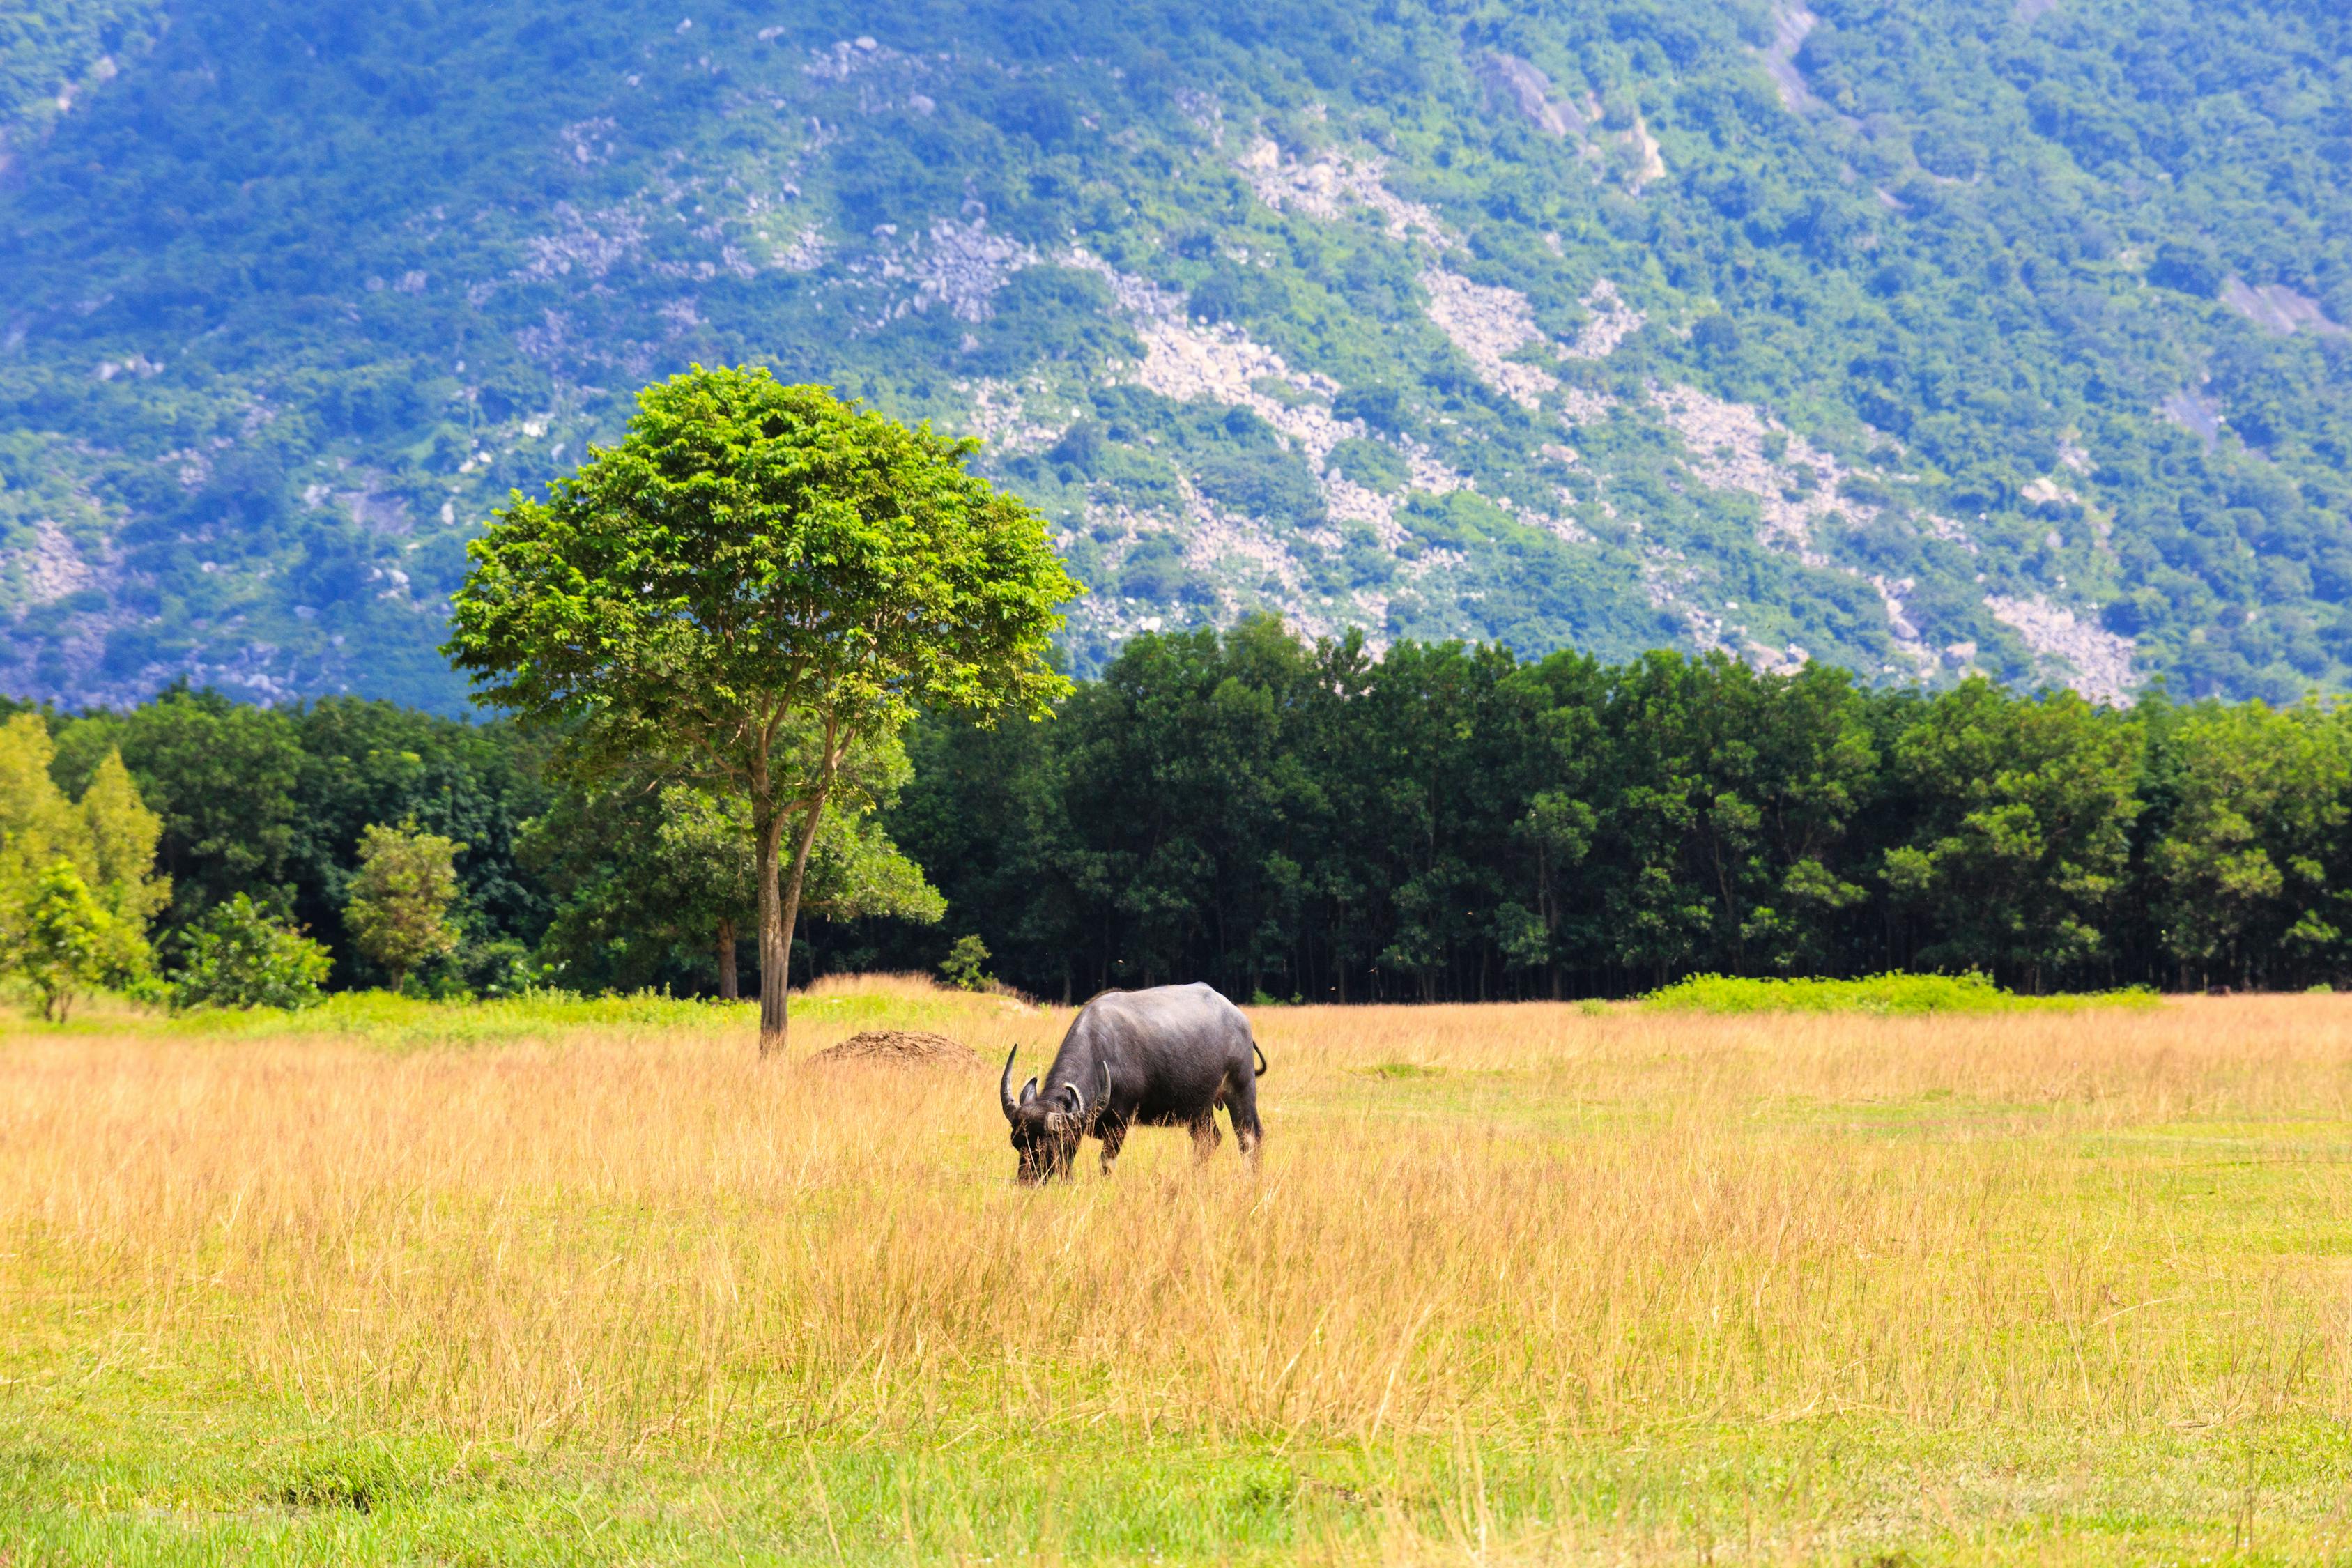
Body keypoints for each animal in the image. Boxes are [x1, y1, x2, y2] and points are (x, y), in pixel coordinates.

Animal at [1006, 987, 1270, 1185]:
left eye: (1046, 1147)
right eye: (1017, 1143)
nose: (1026, 1182)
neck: (1102, 1053)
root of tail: (1238, 1017)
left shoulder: (1119, 1125)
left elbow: (1106, 1163)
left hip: (1241, 1087)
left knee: (1249, 1136)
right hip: (1199, 1107)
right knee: (1208, 1139)